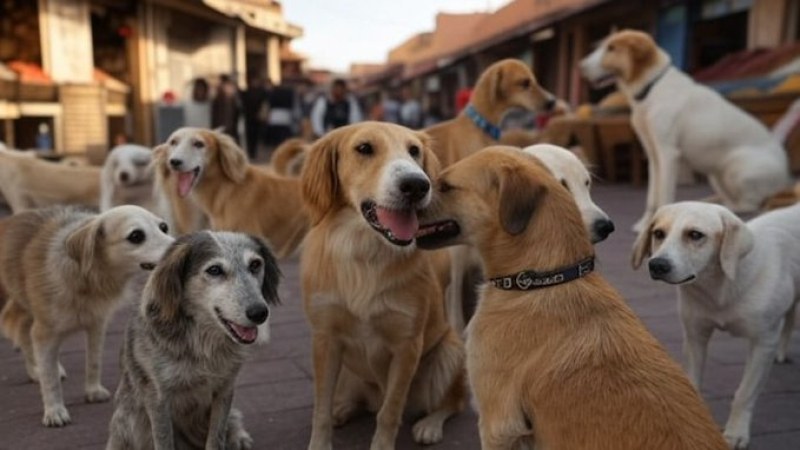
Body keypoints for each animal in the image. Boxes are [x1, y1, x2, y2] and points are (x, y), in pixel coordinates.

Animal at [0, 204, 174, 426]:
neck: (87, 278)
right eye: (136, 236)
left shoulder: (97, 324)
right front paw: (54, 410)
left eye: (164, 227)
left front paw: (92, 391)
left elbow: (93, 361)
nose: (180, 246)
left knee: (22, 330)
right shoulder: (44, 332)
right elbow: (50, 379)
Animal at [106, 232, 282, 450]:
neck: (202, 343)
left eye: (256, 264)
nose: (259, 313)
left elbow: (216, 438)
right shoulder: (158, 398)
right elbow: (164, 440)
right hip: (132, 421)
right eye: (214, 270)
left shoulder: (225, 389)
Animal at [580, 30, 792, 232]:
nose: (580, 66)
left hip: (737, 167)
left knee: (751, 204)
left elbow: (663, 195)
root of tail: (786, 176)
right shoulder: (653, 155)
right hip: (716, 174)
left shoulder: (668, 153)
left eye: (612, 48)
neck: (653, 86)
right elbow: (652, 196)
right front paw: (644, 223)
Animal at [632, 202, 800, 448]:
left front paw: (735, 433)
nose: (657, 265)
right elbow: (692, 384)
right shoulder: (695, 336)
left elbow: (744, 393)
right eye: (658, 233)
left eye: (695, 235)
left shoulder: (763, 342)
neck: (720, 290)